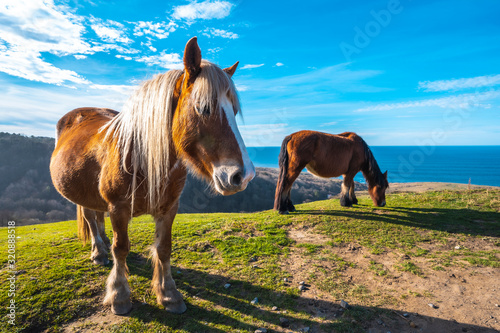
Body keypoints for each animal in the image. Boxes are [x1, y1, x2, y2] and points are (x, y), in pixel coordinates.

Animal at [49, 38, 256, 314]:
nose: (243, 176)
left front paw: (169, 294)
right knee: (92, 219)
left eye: (233, 110)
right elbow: (121, 248)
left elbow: (164, 248)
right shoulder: (118, 208)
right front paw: (119, 295)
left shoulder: (169, 207)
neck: (141, 157)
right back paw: (99, 252)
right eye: (204, 108)